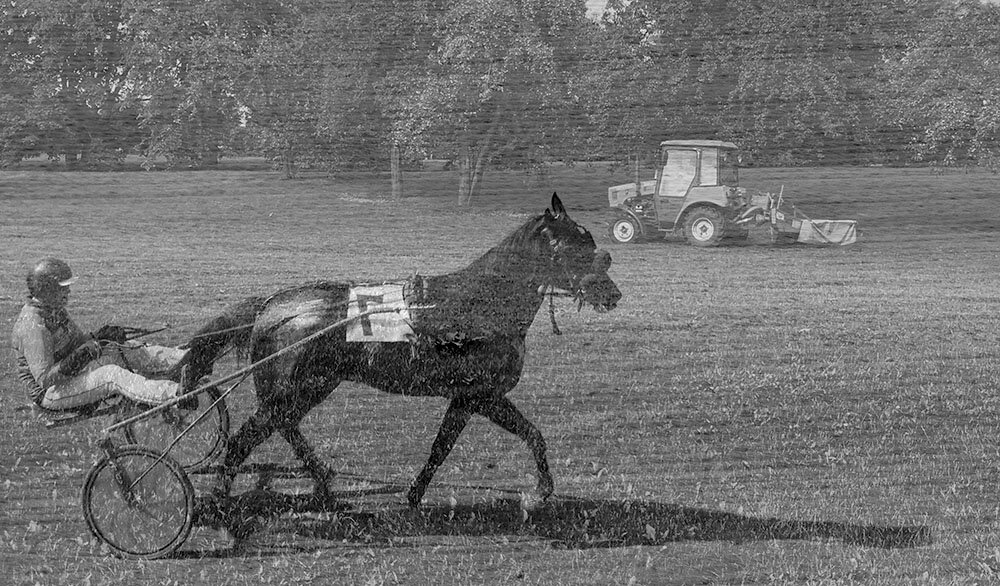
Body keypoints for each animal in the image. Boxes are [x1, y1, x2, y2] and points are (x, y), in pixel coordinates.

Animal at [187, 194, 620, 504]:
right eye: (576, 247)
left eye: (594, 245)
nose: (612, 293)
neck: (478, 305)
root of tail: (271, 306)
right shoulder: (480, 395)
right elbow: (468, 443)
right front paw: (543, 489)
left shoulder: (471, 397)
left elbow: (474, 442)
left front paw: (415, 493)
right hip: (289, 389)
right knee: (247, 438)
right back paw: (223, 498)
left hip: (311, 387)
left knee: (283, 428)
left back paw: (323, 483)